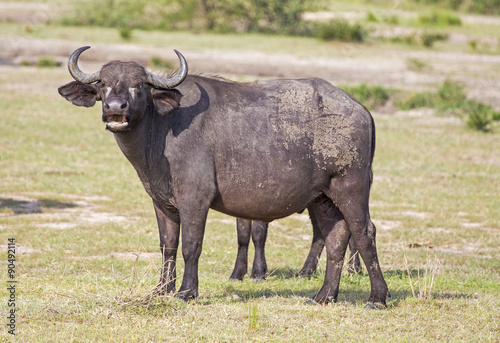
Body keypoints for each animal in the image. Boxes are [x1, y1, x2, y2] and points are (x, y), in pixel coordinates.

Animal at [57, 45, 386, 306]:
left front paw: (187, 292)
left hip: (351, 187)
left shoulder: (195, 200)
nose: (115, 108)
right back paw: (323, 296)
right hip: (323, 199)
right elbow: (167, 246)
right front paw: (162, 290)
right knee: (335, 238)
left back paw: (377, 297)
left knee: (364, 232)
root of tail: (361, 109)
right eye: (104, 84)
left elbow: (191, 245)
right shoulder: (162, 203)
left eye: (139, 86)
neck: (161, 131)